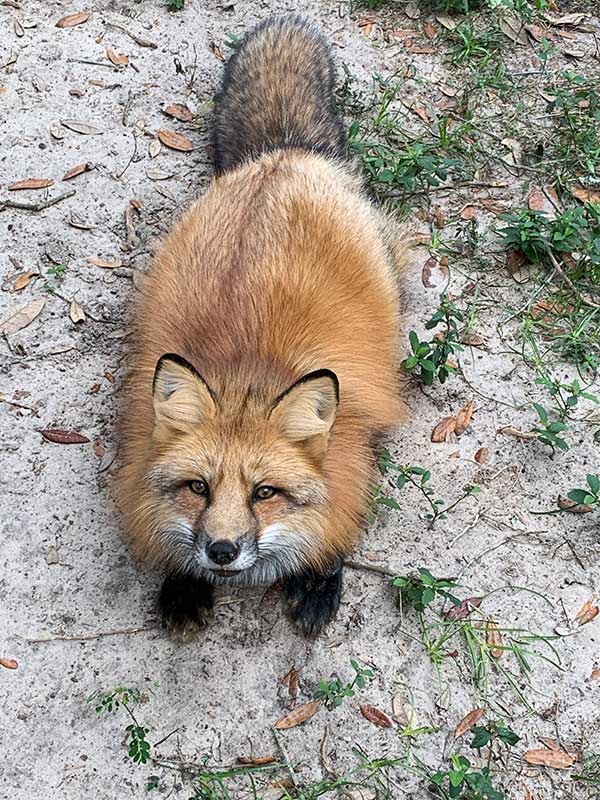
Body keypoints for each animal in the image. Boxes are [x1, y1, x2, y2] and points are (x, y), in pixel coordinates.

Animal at [116, 14, 408, 636]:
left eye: (265, 492)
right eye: (197, 488)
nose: (221, 551)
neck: (247, 371)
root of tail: (284, 156)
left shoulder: (353, 446)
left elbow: (335, 514)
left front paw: (319, 576)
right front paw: (185, 582)